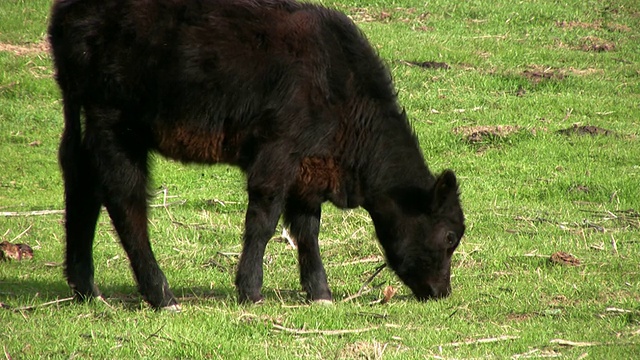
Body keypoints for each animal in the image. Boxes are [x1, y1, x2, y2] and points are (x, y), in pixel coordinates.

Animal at [47, 0, 462, 310]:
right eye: (449, 237)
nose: (442, 291)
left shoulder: (308, 170)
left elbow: (307, 228)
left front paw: (320, 292)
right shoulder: (277, 153)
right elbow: (263, 221)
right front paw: (250, 290)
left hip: (79, 112)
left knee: (79, 181)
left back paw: (85, 287)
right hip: (114, 120)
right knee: (124, 199)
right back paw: (160, 294)